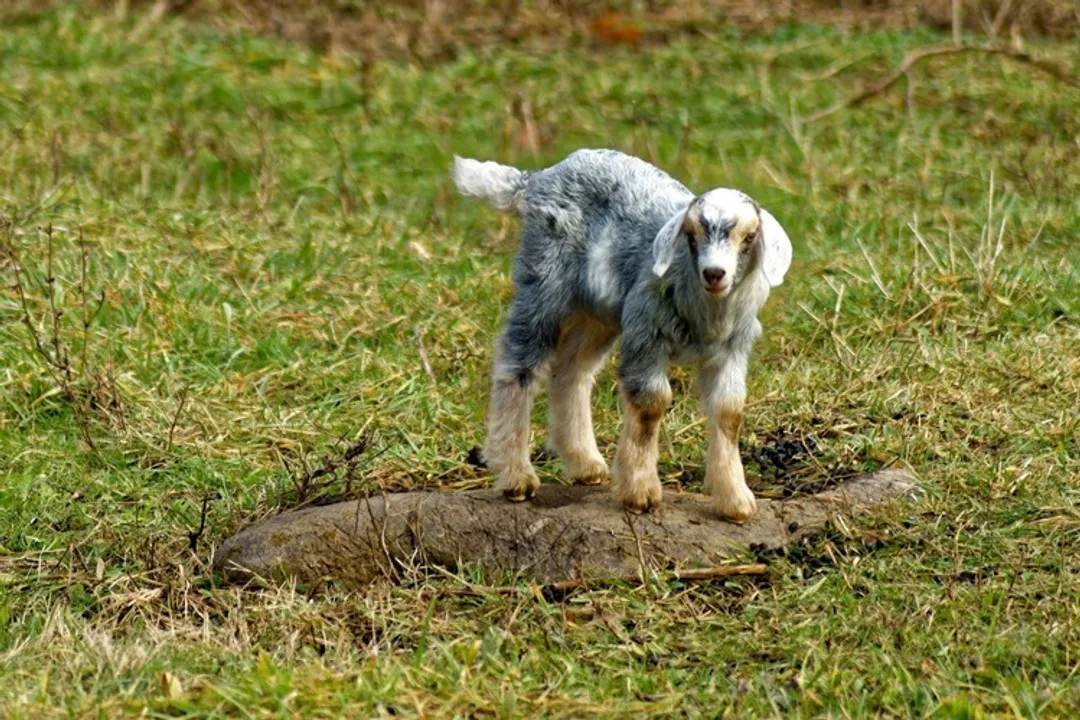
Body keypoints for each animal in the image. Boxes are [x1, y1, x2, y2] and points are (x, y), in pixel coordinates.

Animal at [452, 149, 792, 521]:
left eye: (749, 237)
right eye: (692, 234)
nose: (714, 273)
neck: (709, 312)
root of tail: (537, 179)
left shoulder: (732, 349)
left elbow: (730, 412)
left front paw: (735, 500)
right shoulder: (646, 331)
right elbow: (650, 403)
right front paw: (640, 492)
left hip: (597, 314)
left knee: (571, 373)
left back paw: (585, 463)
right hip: (544, 284)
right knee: (518, 367)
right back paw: (516, 476)